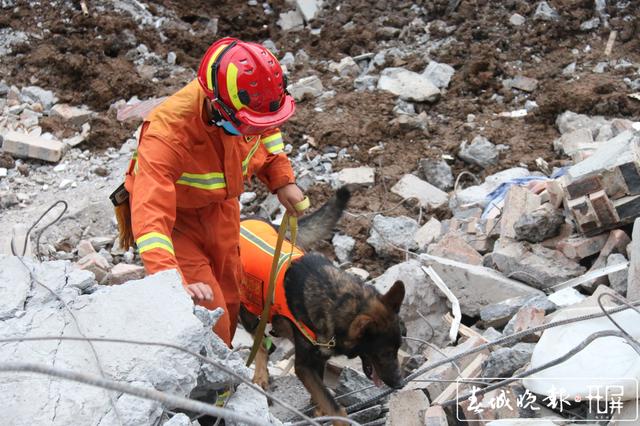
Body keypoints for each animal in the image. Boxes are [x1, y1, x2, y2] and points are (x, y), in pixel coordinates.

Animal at [240, 188, 404, 424]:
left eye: (398, 350)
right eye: (384, 353)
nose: (400, 384)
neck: (337, 299)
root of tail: (245, 219)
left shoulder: (320, 357)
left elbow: (321, 391)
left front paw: (317, 409)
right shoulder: (304, 367)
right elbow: (332, 403)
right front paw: (337, 417)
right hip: (247, 308)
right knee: (260, 343)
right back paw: (261, 374)